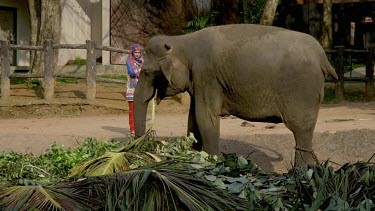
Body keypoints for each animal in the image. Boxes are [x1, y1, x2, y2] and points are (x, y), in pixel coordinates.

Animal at [134, 23, 340, 168]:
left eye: (147, 73)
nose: (140, 147)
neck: (181, 40)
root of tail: (322, 55)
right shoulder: (199, 81)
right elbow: (193, 118)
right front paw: (192, 156)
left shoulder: (206, 75)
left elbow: (205, 117)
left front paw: (214, 162)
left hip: (302, 89)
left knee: (301, 129)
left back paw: (302, 173)